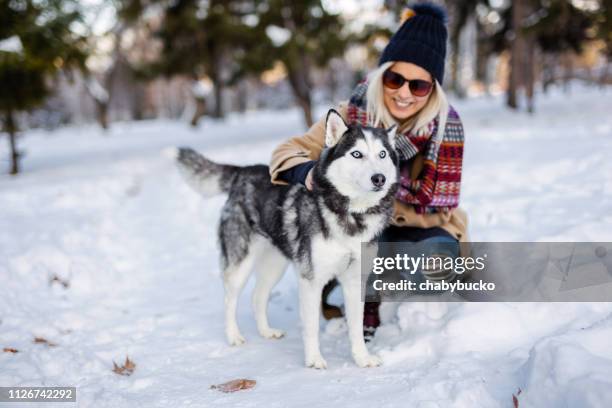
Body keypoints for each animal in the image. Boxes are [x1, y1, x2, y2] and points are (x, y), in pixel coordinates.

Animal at [175, 110, 400, 368]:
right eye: (356, 154)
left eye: (382, 154)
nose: (379, 178)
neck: (352, 213)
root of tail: (243, 172)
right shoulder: (311, 280)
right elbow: (311, 326)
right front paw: (314, 360)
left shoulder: (355, 280)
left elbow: (356, 326)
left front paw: (362, 358)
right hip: (241, 263)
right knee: (229, 299)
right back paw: (233, 335)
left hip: (275, 263)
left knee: (257, 296)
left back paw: (266, 331)